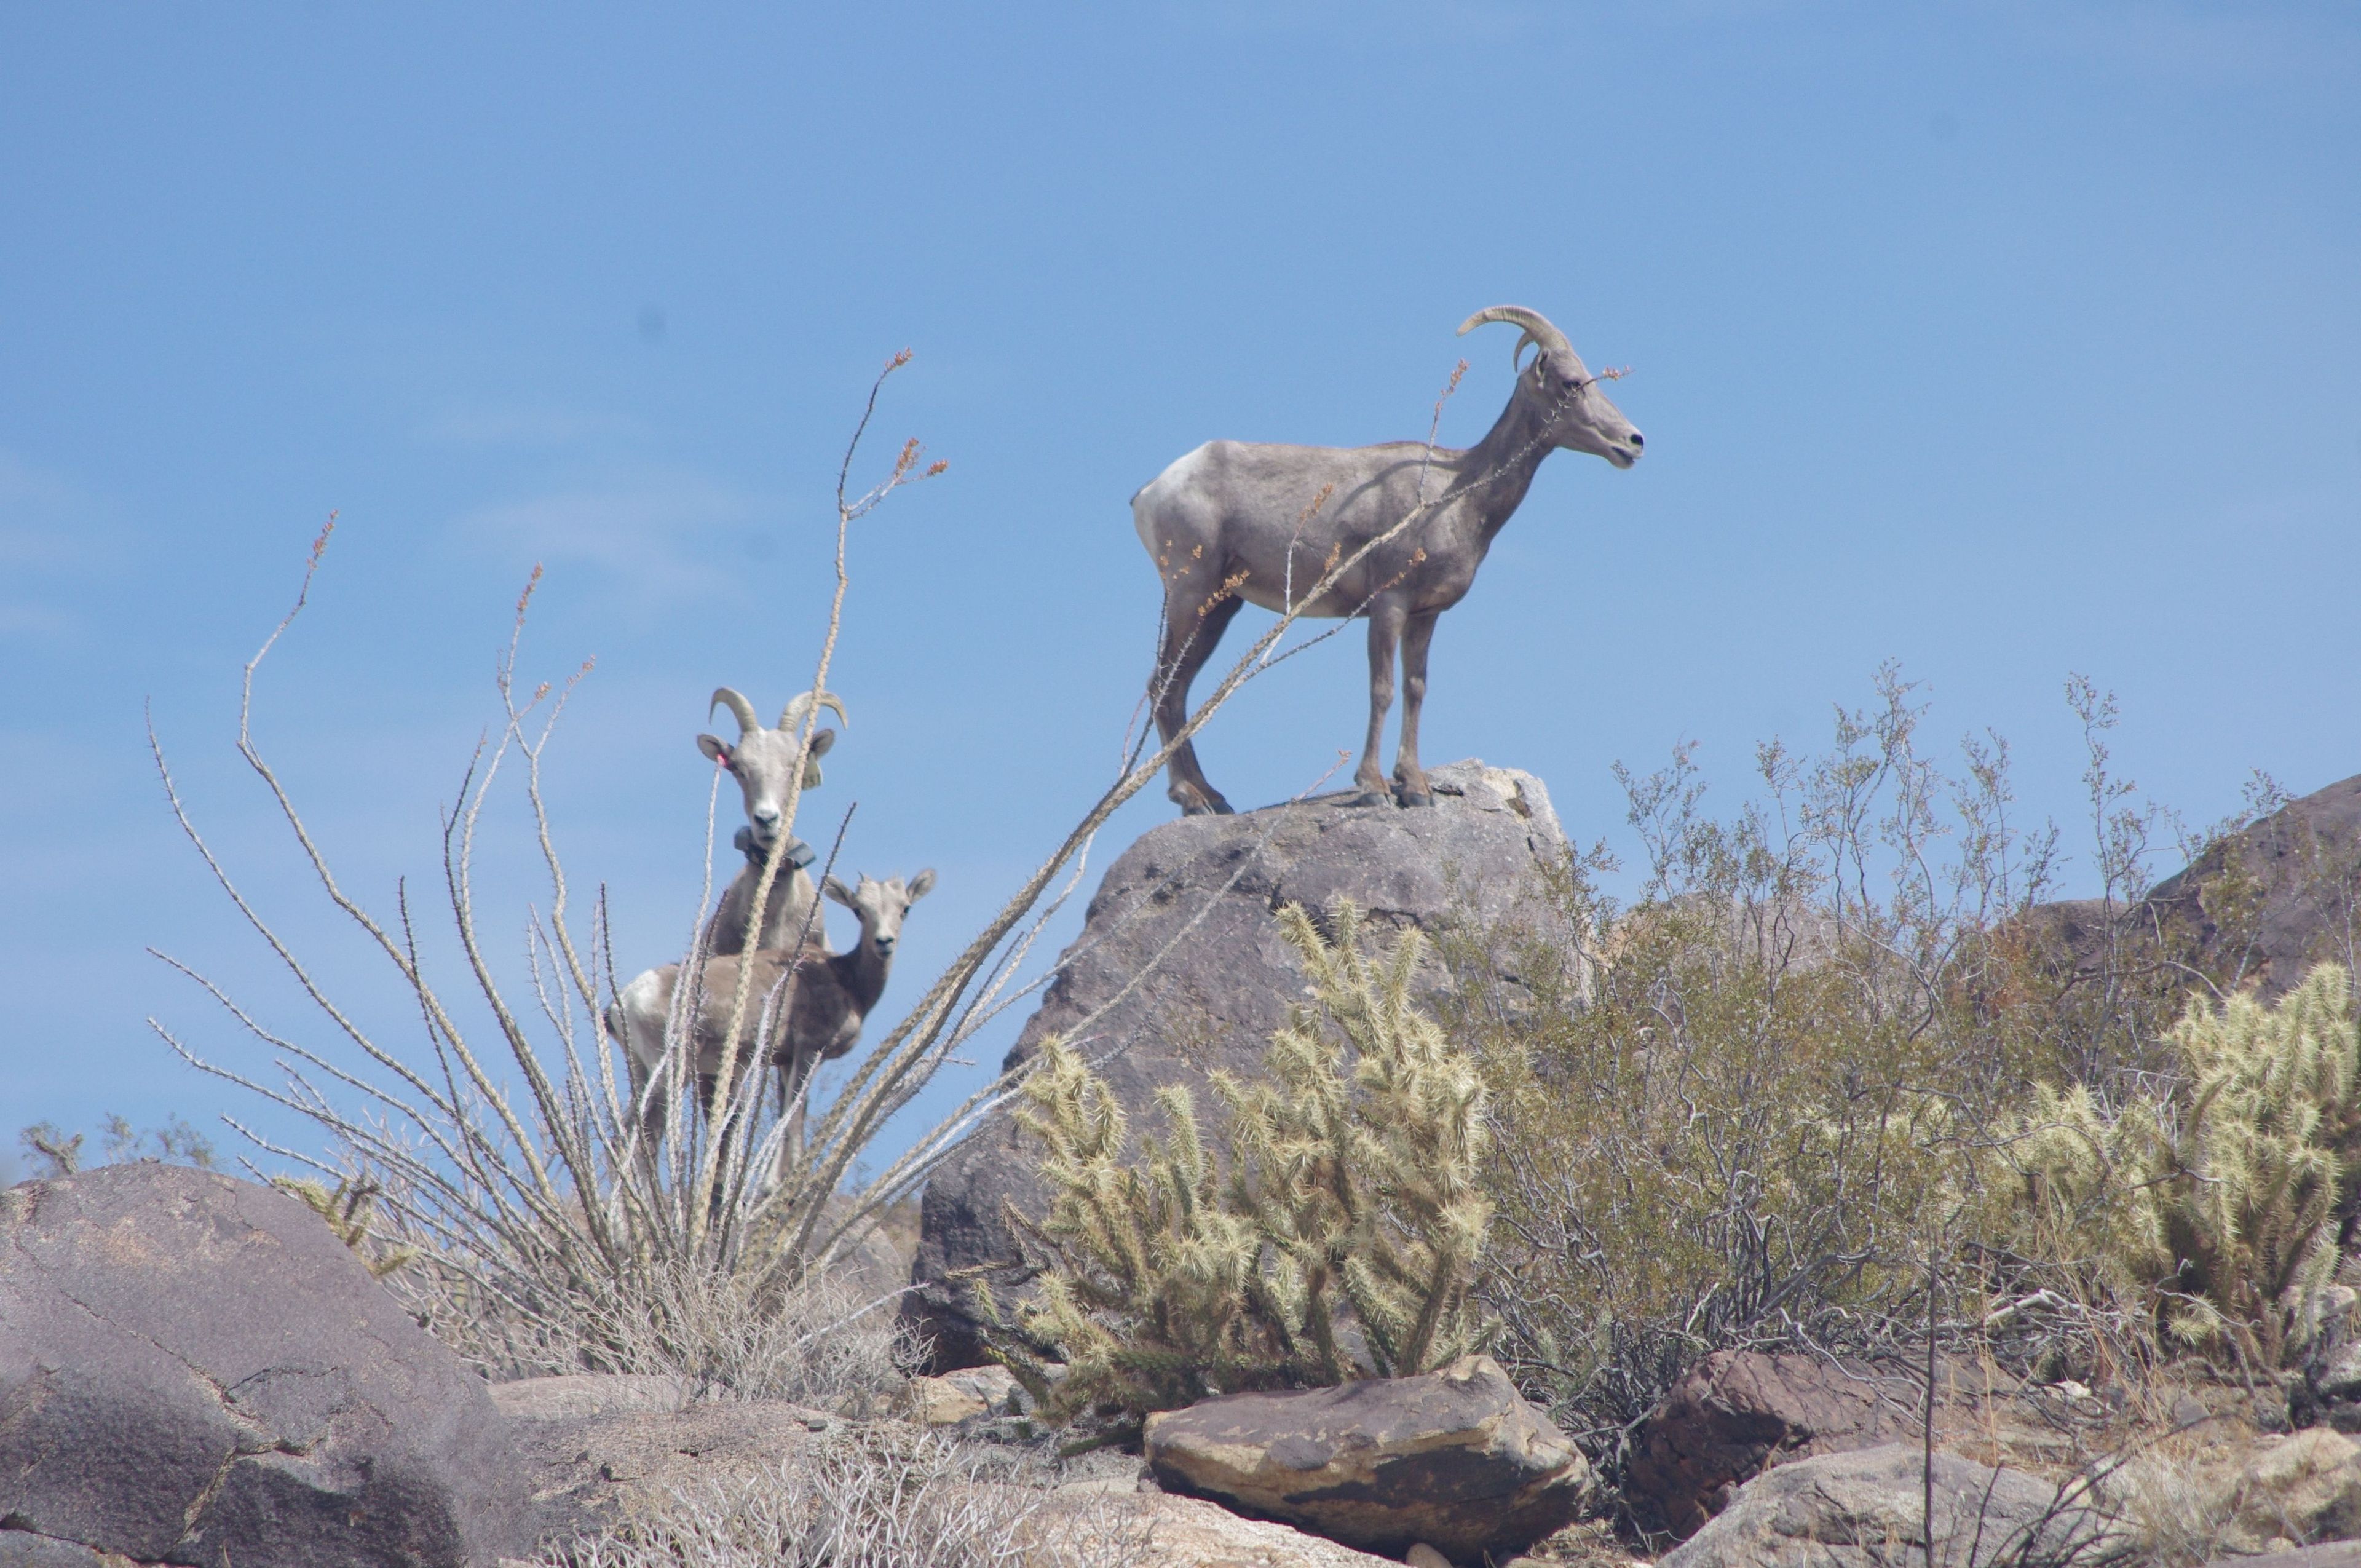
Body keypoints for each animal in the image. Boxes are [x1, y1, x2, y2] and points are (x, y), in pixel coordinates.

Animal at [609, 869, 930, 1176]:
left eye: (905, 908)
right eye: (859, 910)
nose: (884, 942)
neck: (847, 980)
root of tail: (627, 999)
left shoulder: (786, 1062)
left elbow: (788, 1114)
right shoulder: (808, 1052)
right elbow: (792, 1114)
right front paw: (774, 1184)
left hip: (640, 1070)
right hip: (672, 1071)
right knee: (646, 1136)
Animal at [1137, 309, 1643, 822]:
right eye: (1571, 382)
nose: (1633, 442)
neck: (1457, 497)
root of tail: (1152, 491)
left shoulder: (1425, 615)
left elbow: (1415, 688)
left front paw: (1415, 787)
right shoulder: (1389, 606)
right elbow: (1381, 690)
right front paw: (1374, 787)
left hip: (1221, 607)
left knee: (1178, 688)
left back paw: (1213, 798)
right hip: (1192, 595)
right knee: (1163, 686)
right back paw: (1194, 798)